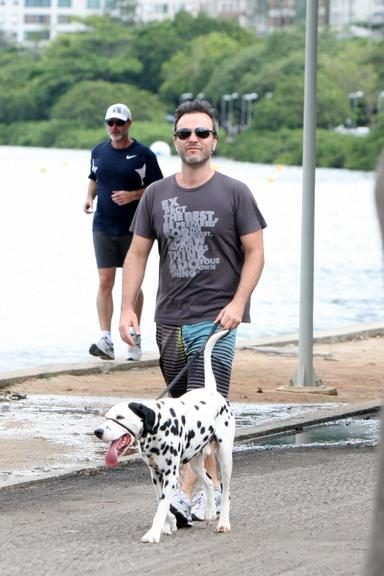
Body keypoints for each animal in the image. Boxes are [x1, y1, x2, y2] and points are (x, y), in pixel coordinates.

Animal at [94, 328, 236, 544]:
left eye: (119, 417)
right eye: (106, 417)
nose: (98, 432)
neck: (158, 424)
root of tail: (212, 391)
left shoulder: (169, 474)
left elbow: (161, 507)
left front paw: (153, 533)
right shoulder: (155, 474)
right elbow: (162, 502)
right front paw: (169, 525)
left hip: (225, 457)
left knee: (226, 491)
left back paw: (223, 523)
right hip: (195, 461)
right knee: (209, 481)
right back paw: (210, 512)